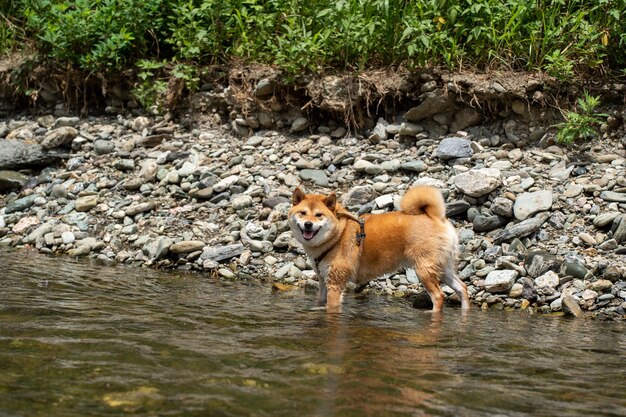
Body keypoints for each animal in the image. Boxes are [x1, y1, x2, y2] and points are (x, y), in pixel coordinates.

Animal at [288, 186, 468, 312]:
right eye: (303, 213)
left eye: (319, 215)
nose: (308, 224)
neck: (337, 235)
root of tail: (435, 217)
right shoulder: (323, 280)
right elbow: (320, 301)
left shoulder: (335, 283)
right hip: (442, 268)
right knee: (462, 288)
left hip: (424, 270)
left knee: (439, 296)